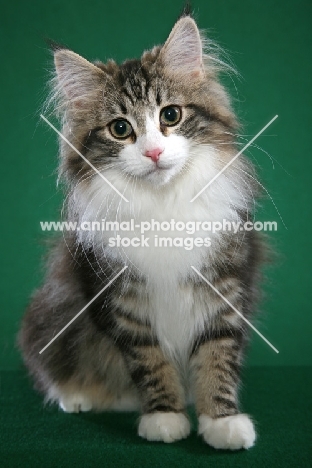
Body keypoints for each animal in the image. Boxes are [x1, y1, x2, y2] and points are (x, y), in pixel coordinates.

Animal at [18, 11, 264, 450]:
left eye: (170, 115)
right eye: (120, 128)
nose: (153, 152)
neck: (161, 204)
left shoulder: (224, 285)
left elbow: (217, 357)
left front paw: (222, 421)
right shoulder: (122, 300)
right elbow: (150, 361)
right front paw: (164, 417)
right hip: (52, 316)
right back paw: (76, 396)